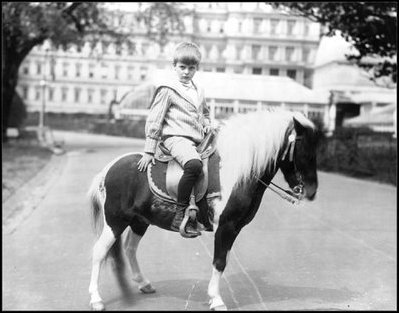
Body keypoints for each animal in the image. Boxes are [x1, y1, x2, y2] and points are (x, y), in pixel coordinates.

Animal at [86, 108, 318, 308]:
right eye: (302, 149)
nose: (312, 191)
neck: (237, 172)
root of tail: (108, 169)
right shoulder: (225, 227)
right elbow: (219, 261)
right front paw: (216, 300)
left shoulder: (234, 229)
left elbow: (223, 261)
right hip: (115, 221)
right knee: (99, 252)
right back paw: (96, 299)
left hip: (139, 221)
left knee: (129, 249)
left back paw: (144, 283)